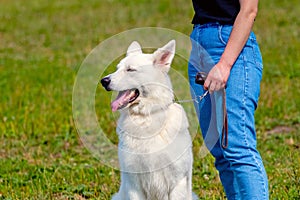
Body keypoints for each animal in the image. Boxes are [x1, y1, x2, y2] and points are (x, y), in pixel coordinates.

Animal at [102, 39, 198, 199]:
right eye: (117, 69)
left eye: (130, 70)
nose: (103, 81)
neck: (145, 117)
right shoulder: (134, 185)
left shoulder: (177, 182)